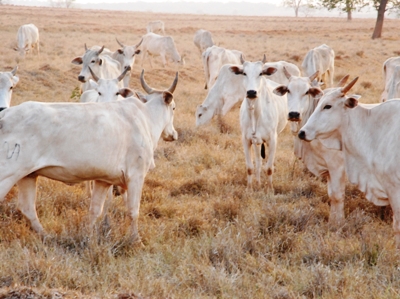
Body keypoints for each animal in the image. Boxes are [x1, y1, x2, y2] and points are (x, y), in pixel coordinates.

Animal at [0, 70, 178, 241]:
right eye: (174, 108)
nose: (173, 135)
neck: (146, 118)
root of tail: (5, 115)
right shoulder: (136, 176)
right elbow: (133, 211)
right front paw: (136, 240)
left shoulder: (104, 180)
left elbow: (95, 210)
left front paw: (88, 236)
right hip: (9, 174)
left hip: (28, 175)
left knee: (27, 208)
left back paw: (47, 236)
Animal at [228, 56, 288, 190]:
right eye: (244, 73)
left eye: (260, 73)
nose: (251, 92)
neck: (255, 114)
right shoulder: (246, 140)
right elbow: (250, 167)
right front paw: (250, 188)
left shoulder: (273, 140)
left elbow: (269, 168)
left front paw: (270, 188)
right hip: (256, 142)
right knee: (259, 161)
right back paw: (258, 182)